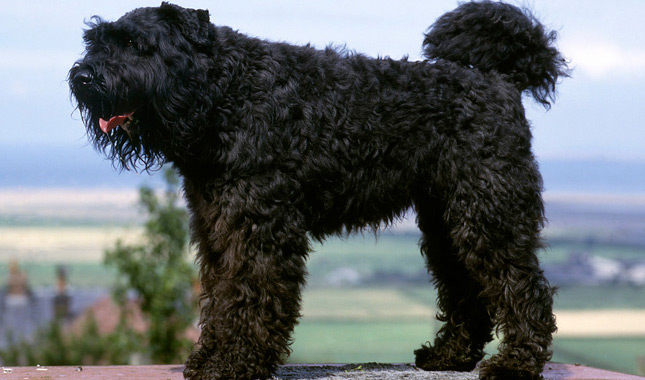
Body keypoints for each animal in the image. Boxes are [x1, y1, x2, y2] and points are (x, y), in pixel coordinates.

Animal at [68, 1, 568, 378]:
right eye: (96, 41)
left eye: (137, 45)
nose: (83, 77)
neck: (227, 94)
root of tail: (500, 80)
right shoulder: (217, 224)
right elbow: (221, 294)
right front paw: (209, 357)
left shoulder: (258, 225)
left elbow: (250, 293)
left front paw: (234, 363)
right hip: (448, 223)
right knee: (467, 290)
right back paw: (450, 356)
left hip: (489, 212)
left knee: (524, 287)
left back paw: (516, 364)